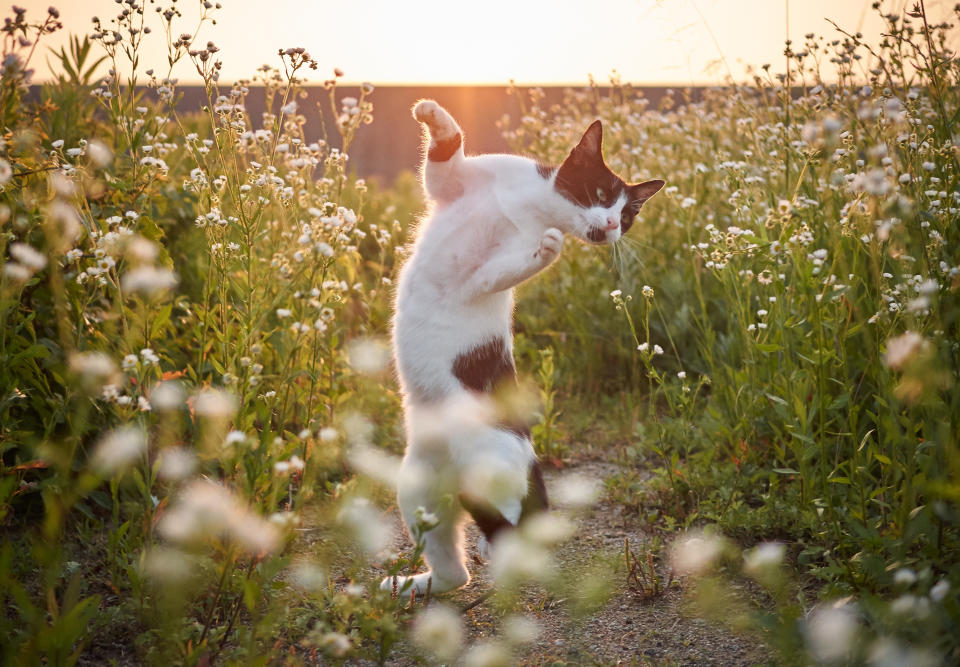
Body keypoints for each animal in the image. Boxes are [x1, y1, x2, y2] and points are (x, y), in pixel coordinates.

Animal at [380, 100, 660, 596]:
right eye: (603, 193)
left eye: (628, 217)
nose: (612, 225)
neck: (524, 205)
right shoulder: (451, 184)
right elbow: (447, 148)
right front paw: (432, 113)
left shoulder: (488, 275)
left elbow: (512, 266)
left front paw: (547, 250)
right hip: (416, 486)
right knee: (455, 571)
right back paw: (412, 585)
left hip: (489, 473)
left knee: (502, 538)